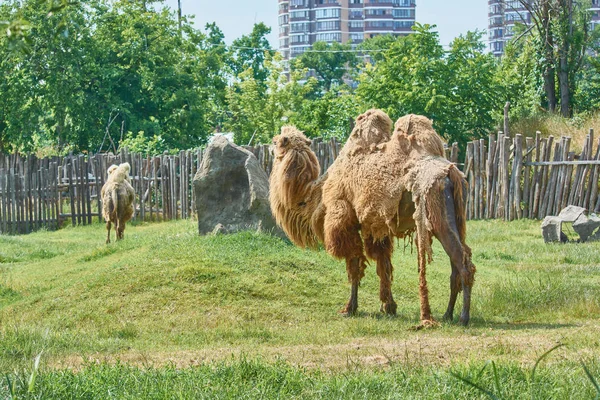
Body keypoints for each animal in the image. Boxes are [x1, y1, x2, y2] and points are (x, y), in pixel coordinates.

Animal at [270, 108, 476, 324]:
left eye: (278, 141)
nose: (270, 146)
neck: (317, 193)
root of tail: (451, 173)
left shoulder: (346, 223)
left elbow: (354, 266)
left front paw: (349, 308)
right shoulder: (376, 227)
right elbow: (383, 265)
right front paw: (389, 307)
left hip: (436, 213)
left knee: (463, 263)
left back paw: (463, 318)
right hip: (456, 217)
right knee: (457, 262)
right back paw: (447, 314)